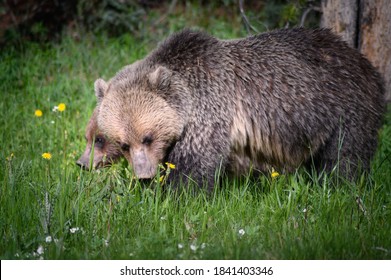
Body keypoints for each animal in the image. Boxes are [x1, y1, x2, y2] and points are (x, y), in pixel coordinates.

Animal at [93, 28, 384, 189]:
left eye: (148, 137)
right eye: (124, 144)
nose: (143, 176)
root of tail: (365, 63)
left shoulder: (209, 110)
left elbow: (194, 168)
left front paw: (177, 196)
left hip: (344, 108)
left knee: (344, 157)